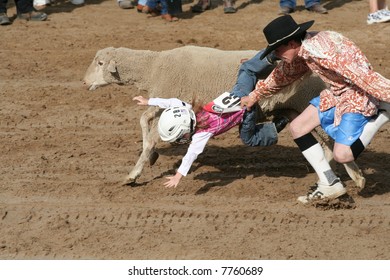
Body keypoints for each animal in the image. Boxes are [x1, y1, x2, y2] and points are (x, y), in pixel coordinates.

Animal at [83, 45, 366, 188]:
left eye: (100, 63)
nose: (84, 82)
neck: (153, 68)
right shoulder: (167, 98)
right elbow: (144, 120)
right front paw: (151, 157)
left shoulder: (172, 94)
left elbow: (151, 133)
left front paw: (134, 173)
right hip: (300, 109)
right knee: (326, 145)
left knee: (333, 143)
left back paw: (356, 179)